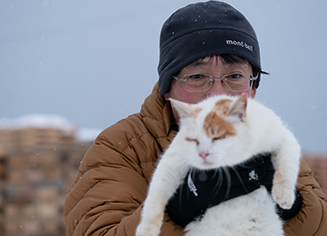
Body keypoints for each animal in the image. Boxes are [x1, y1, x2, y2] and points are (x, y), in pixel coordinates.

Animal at [136, 93, 302, 235]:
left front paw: (284, 195)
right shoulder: (173, 159)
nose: (202, 153)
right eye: (193, 140)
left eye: (217, 137)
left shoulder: (283, 136)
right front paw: (147, 228)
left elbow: (286, 167)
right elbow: (156, 193)